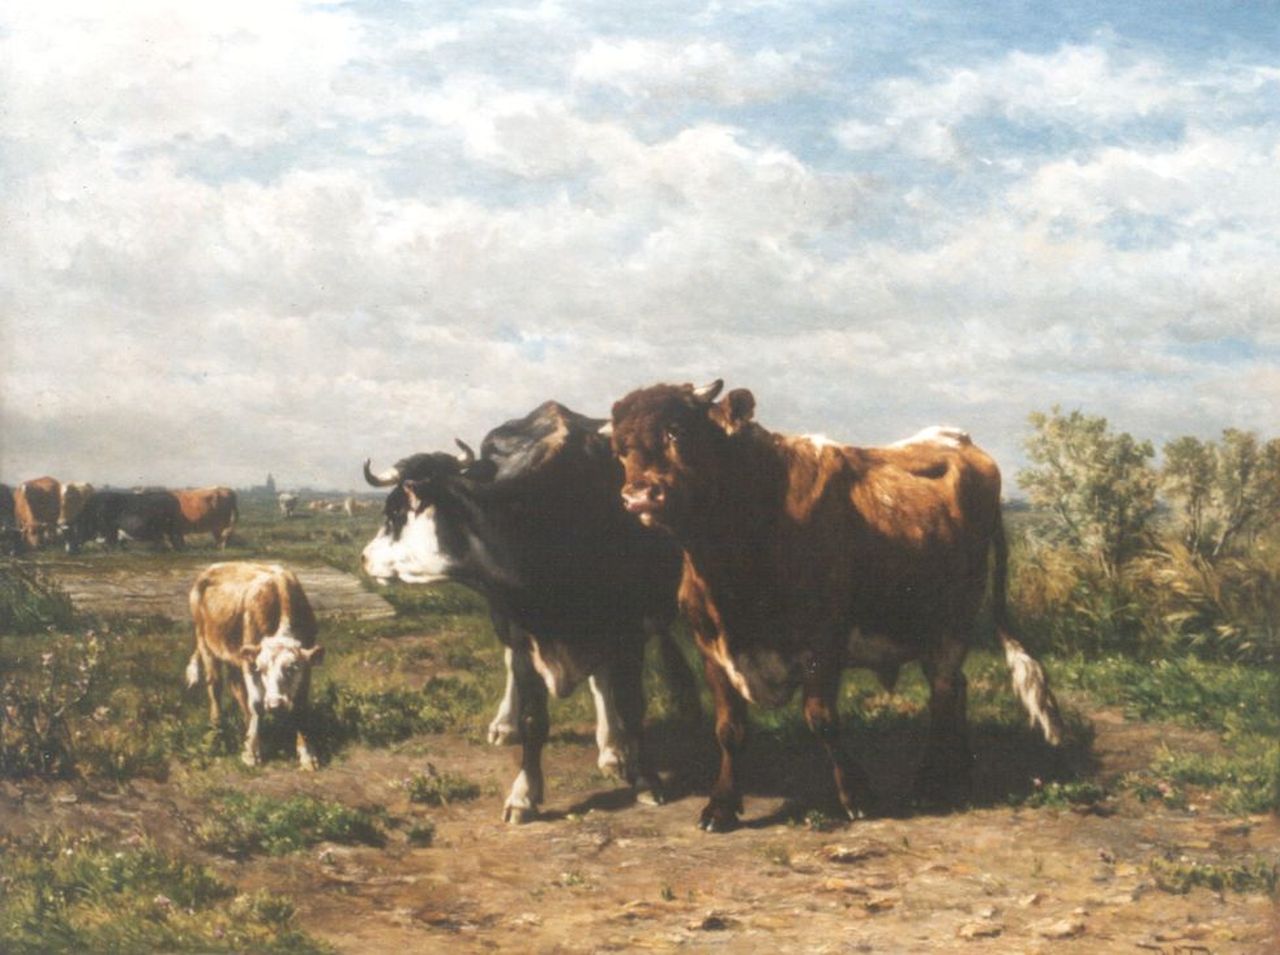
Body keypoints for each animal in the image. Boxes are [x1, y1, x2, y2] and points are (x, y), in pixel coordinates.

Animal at [186, 562, 324, 770]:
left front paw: (307, 755)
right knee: (215, 685)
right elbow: (257, 704)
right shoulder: (250, 664)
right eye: (262, 669)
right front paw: (252, 753)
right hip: (205, 641)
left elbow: (300, 706)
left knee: (237, 688)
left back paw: (247, 726)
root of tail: (213, 567)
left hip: (234, 655)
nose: (275, 704)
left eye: (292, 668)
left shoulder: (306, 667)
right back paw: (217, 727)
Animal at [361, 401, 691, 823]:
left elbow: (632, 707)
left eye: (394, 513)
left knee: (600, 680)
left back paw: (613, 749)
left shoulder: (630, 631)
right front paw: (524, 793)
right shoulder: (523, 634)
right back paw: (505, 726)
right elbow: (534, 719)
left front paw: (646, 777)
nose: (364, 557)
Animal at [608, 380, 1065, 832]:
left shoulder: (822, 642)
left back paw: (929, 783)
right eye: (620, 448)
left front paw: (857, 796)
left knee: (942, 692)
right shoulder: (712, 648)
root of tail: (957, 439)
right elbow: (729, 730)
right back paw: (960, 771)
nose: (639, 495)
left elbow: (822, 719)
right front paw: (720, 806)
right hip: (923, 623)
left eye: (677, 431)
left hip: (956, 615)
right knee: (956, 688)